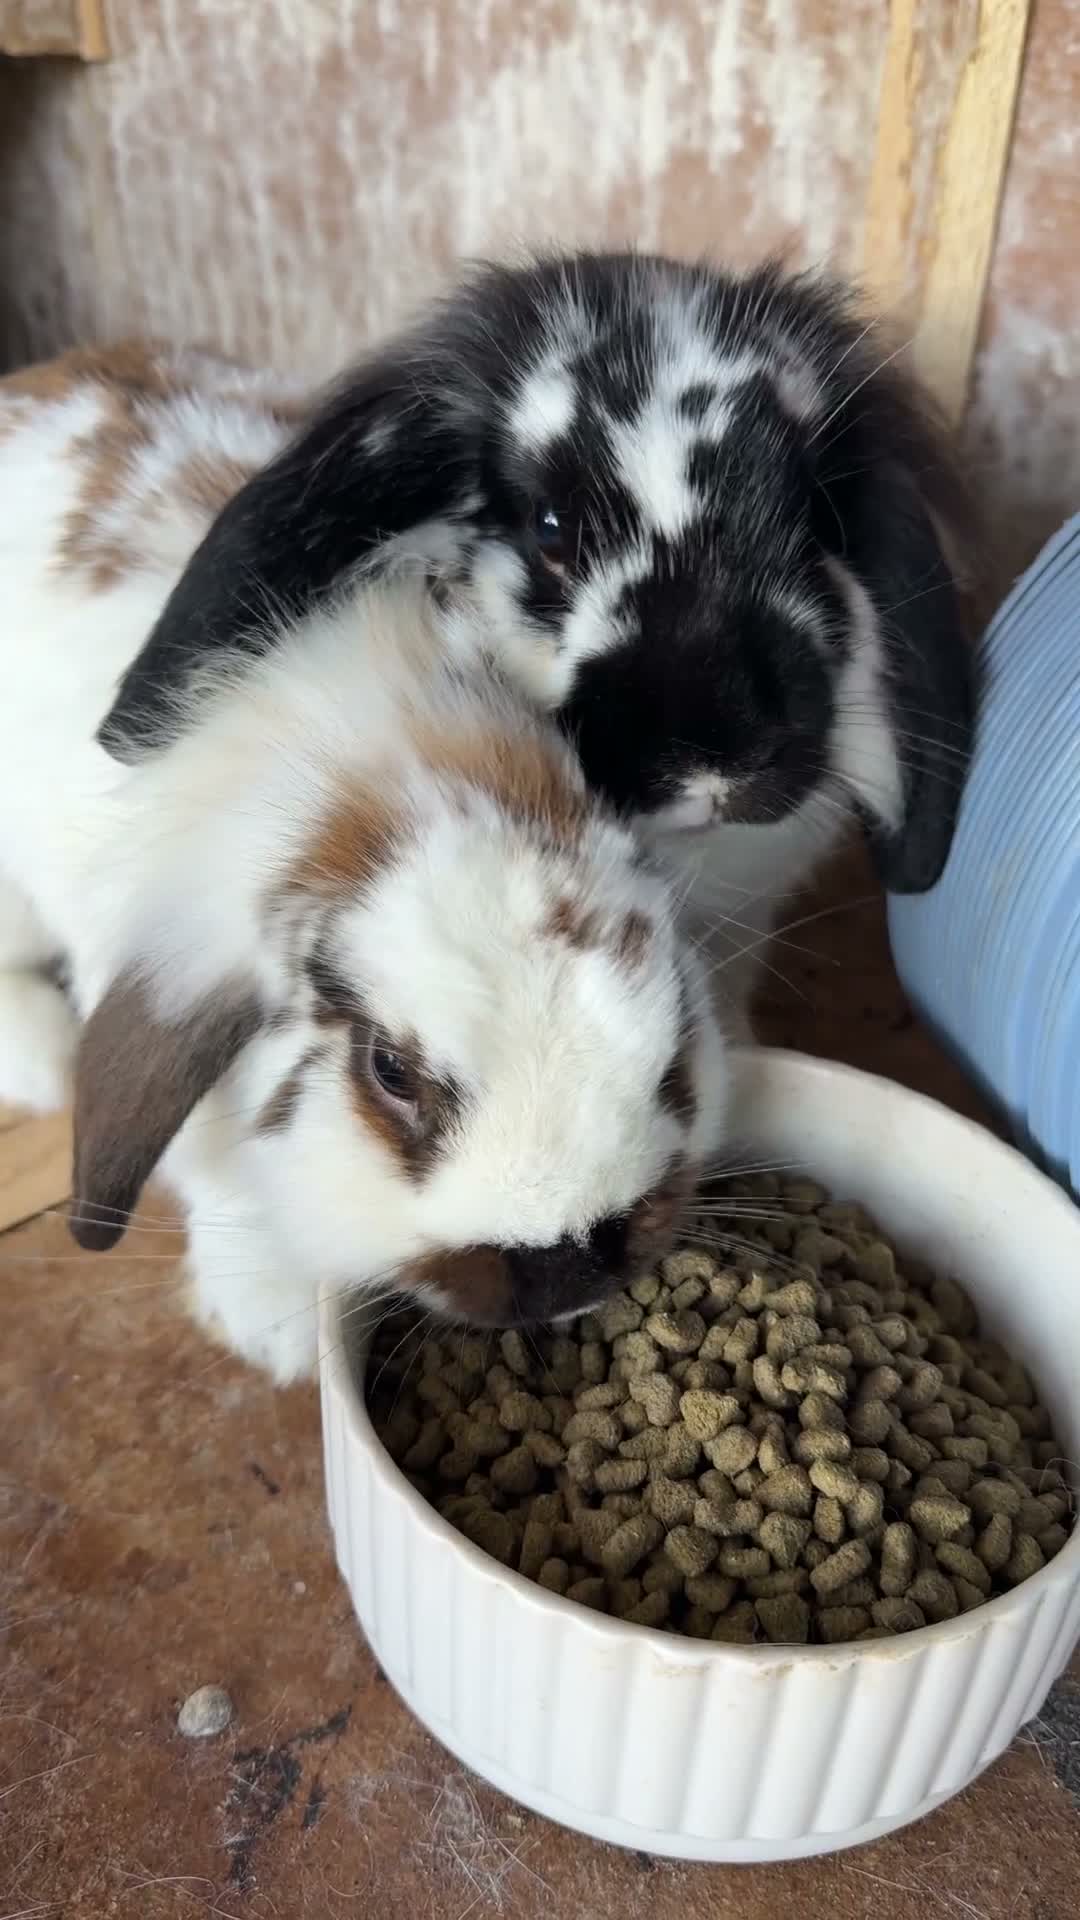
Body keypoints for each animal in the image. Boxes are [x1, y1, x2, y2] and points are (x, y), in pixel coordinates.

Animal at [0, 345, 730, 1384]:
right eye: (389, 1070)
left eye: (670, 1043)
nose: (571, 1266)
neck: (386, 766)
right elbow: (226, 1182)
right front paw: (275, 1328)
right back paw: (45, 1059)